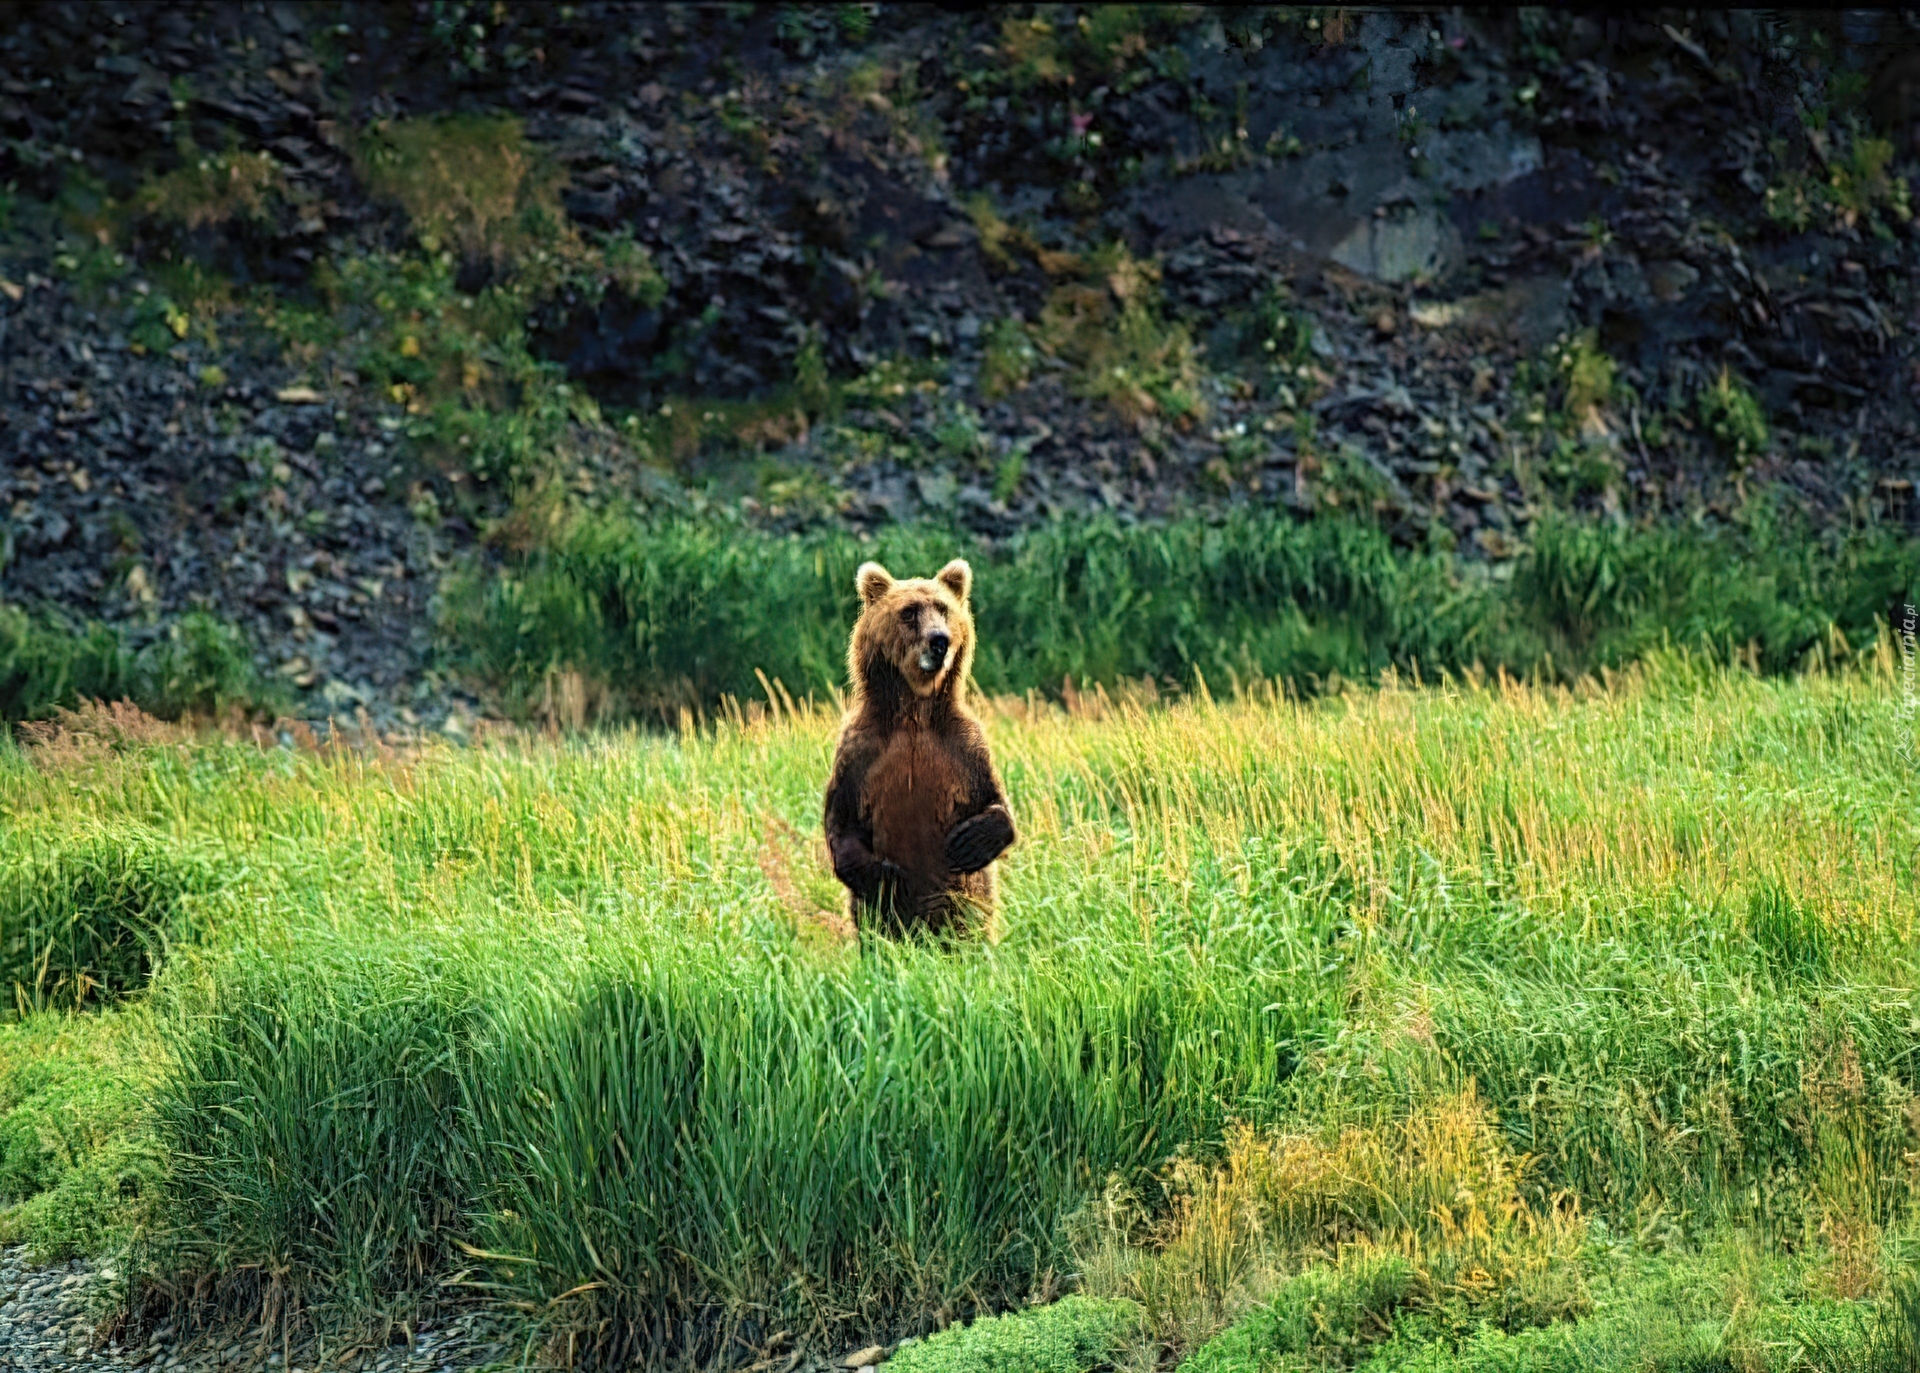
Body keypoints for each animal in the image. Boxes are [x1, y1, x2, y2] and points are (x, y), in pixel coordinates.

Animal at [817, 556, 1013, 933]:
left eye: (943, 608)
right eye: (909, 612)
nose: (940, 640)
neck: (915, 712)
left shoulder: (965, 745)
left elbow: (997, 803)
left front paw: (970, 841)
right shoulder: (859, 750)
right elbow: (841, 821)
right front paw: (886, 877)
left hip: (963, 904)